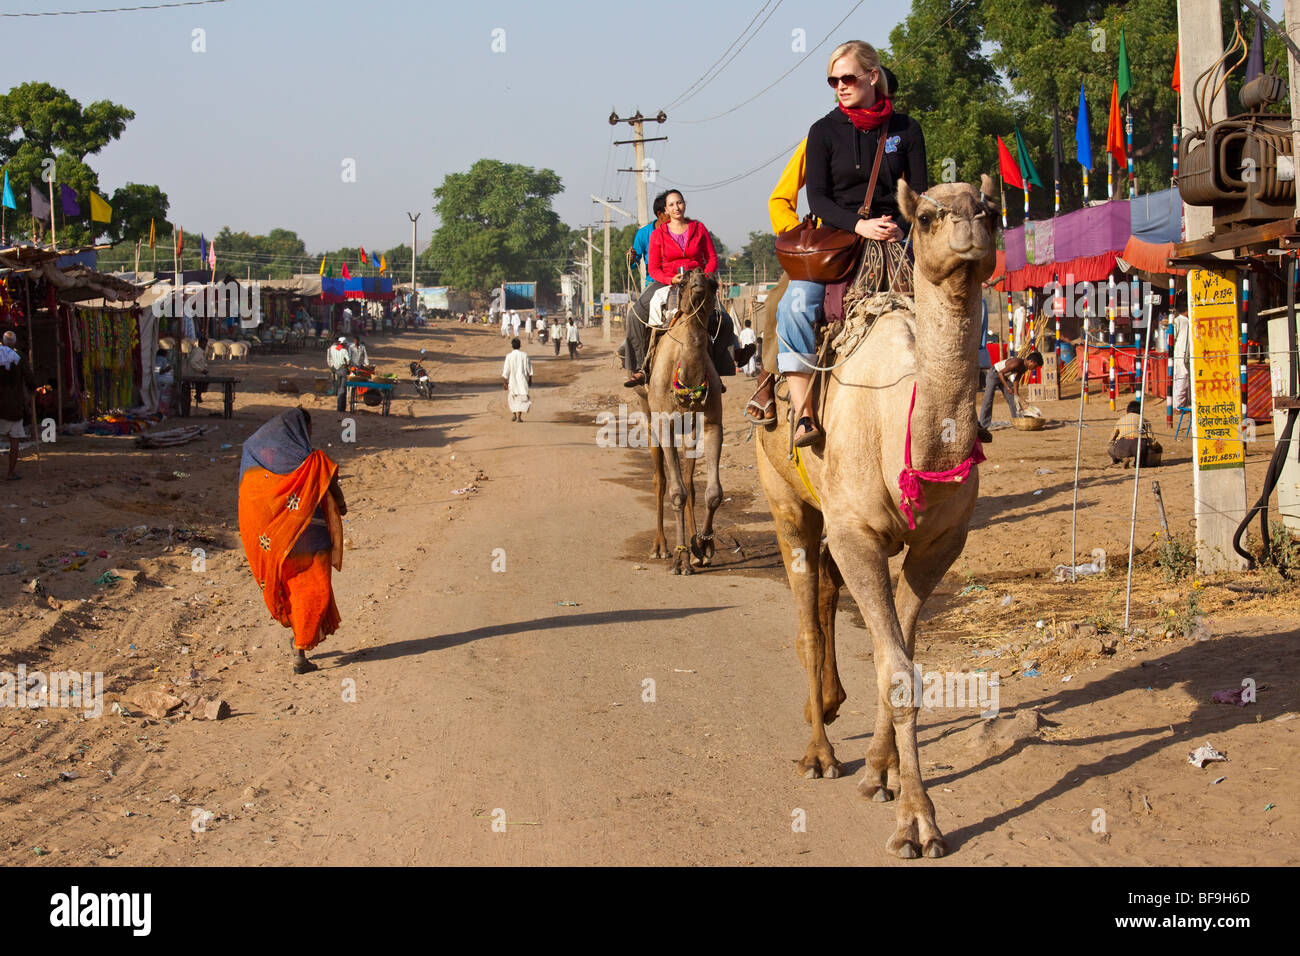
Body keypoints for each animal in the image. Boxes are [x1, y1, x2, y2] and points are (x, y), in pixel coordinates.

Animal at [642, 269, 733, 574]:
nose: (697, 280)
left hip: (689, 428)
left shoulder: (712, 423)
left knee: (691, 482)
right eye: (682, 281)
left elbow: (713, 492)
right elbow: (676, 492)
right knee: (660, 479)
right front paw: (681, 560)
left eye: (713, 283)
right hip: (649, 416)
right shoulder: (665, 425)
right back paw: (660, 547)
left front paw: (702, 546)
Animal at [759, 175, 998, 858]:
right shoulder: (857, 533)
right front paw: (917, 823)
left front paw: (881, 772)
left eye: (992, 209)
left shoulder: (940, 542)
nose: (972, 232)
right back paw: (818, 752)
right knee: (807, 621)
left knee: (827, 599)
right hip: (786, 499)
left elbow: (904, 658)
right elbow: (893, 666)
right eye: (928, 216)